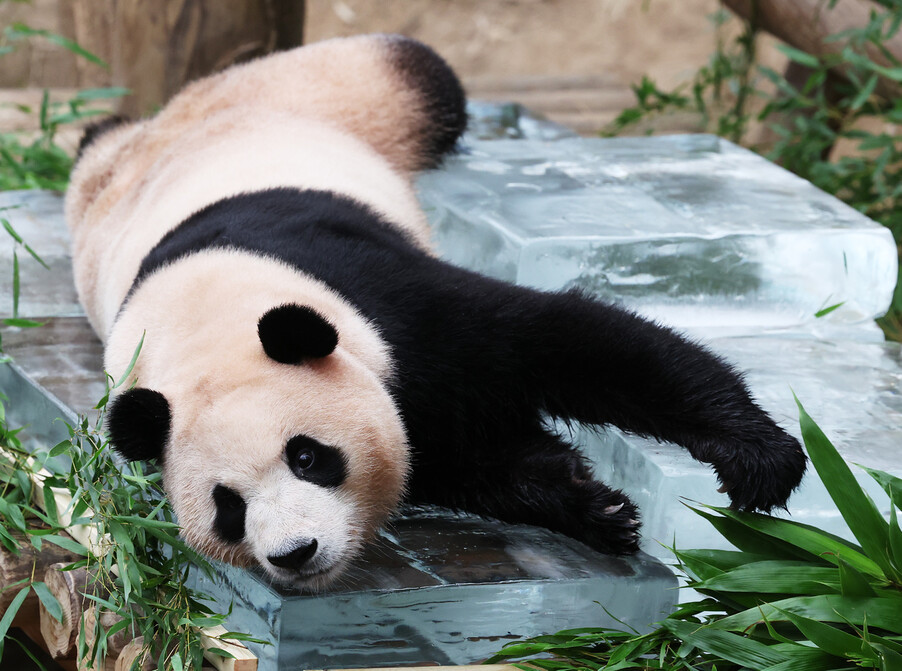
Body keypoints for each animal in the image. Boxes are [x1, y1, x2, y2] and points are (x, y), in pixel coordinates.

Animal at [67, 34, 808, 592]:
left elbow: (571, 344)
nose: (296, 552)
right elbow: (477, 463)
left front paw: (758, 460)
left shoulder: (383, 301)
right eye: (228, 506)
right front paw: (596, 504)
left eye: (306, 456)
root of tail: (167, 121)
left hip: (340, 87)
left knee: (424, 75)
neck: (202, 321)